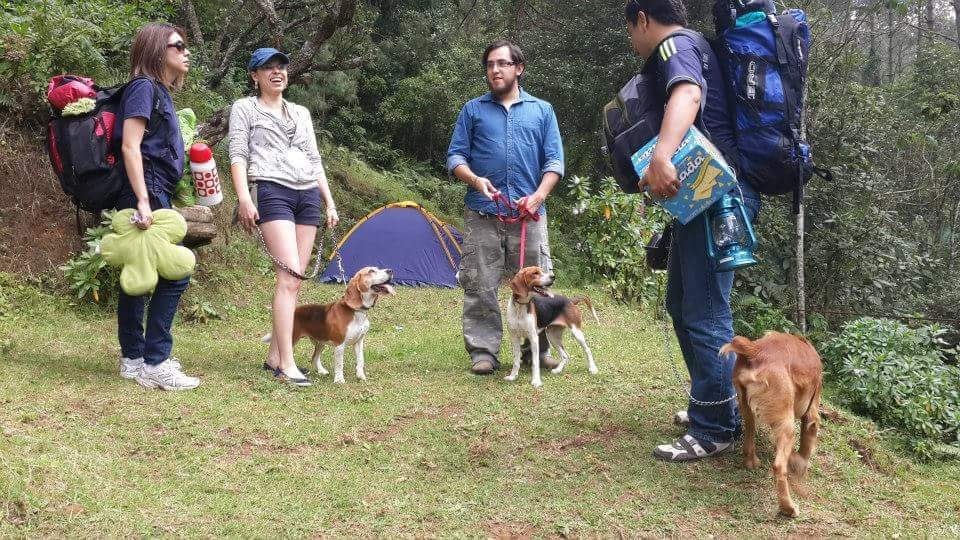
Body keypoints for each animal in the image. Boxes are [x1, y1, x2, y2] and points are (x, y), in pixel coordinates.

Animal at [262, 266, 394, 384]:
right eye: (371, 271)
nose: (390, 270)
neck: (357, 312)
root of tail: (294, 311)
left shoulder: (359, 342)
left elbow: (360, 360)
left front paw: (360, 376)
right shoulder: (340, 344)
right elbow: (340, 364)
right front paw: (339, 380)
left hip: (321, 342)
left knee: (314, 358)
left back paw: (321, 371)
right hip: (292, 339)